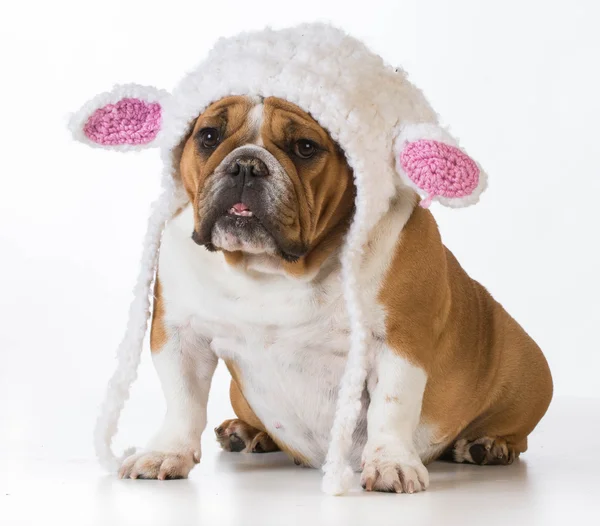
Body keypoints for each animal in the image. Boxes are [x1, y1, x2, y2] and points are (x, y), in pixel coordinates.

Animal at [117, 96, 552, 496]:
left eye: (305, 147)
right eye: (209, 136)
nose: (246, 165)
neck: (272, 268)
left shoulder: (399, 339)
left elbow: (392, 405)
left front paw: (391, 462)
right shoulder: (179, 334)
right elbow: (182, 401)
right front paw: (165, 453)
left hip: (525, 367)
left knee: (516, 432)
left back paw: (488, 444)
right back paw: (248, 433)